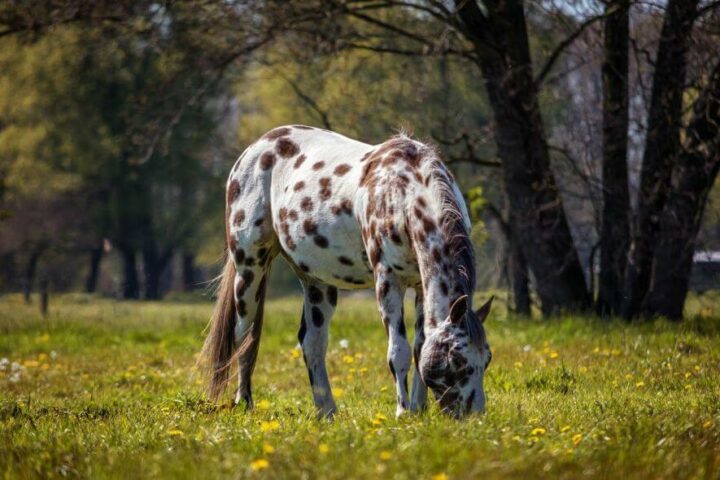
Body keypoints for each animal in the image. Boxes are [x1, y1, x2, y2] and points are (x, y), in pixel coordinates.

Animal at [202, 125, 496, 418]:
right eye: (457, 360)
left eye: (487, 358)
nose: (475, 416)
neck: (402, 194)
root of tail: (256, 147)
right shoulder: (387, 281)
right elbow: (398, 352)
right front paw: (403, 412)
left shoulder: (421, 287)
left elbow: (419, 347)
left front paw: (418, 409)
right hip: (250, 268)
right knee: (244, 336)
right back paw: (244, 402)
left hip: (316, 282)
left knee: (312, 343)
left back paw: (327, 412)